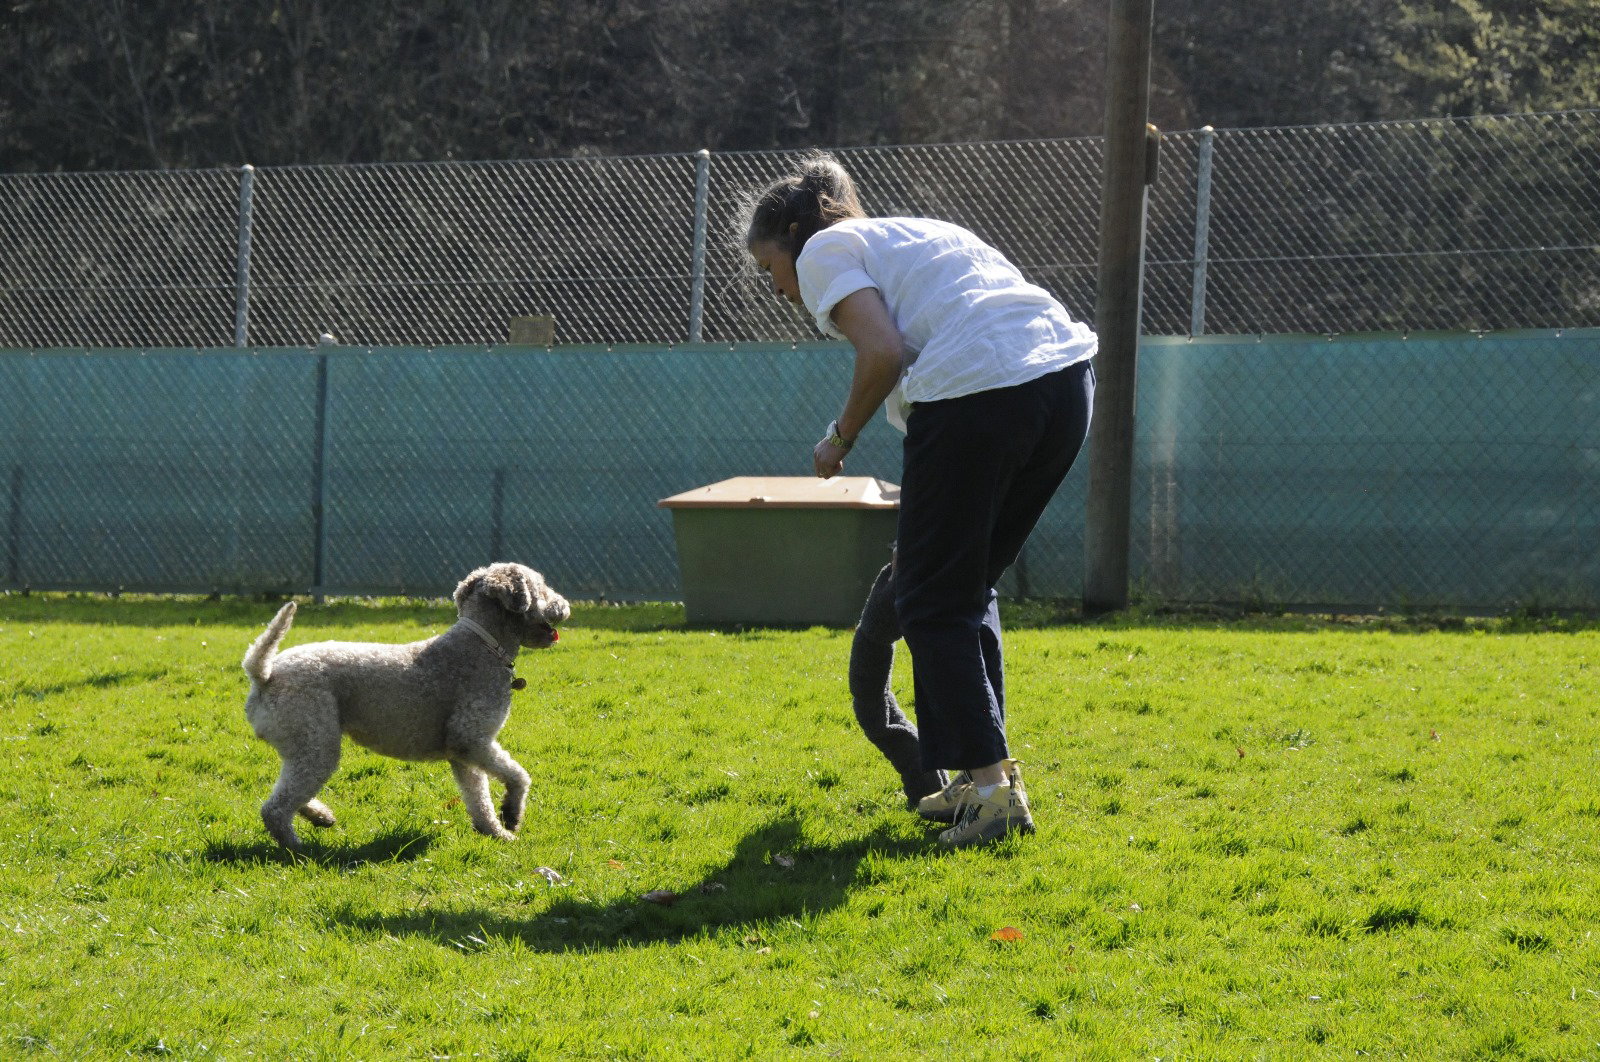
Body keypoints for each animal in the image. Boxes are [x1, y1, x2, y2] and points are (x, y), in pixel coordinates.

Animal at [241, 562, 570, 851]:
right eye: (541, 587)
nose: (565, 606)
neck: (484, 645)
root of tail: (264, 674)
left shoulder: (465, 753)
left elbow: (478, 797)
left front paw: (494, 832)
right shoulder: (470, 738)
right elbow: (517, 775)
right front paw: (511, 816)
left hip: (305, 745)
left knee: (289, 791)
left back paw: (320, 816)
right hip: (316, 741)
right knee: (276, 808)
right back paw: (299, 848)